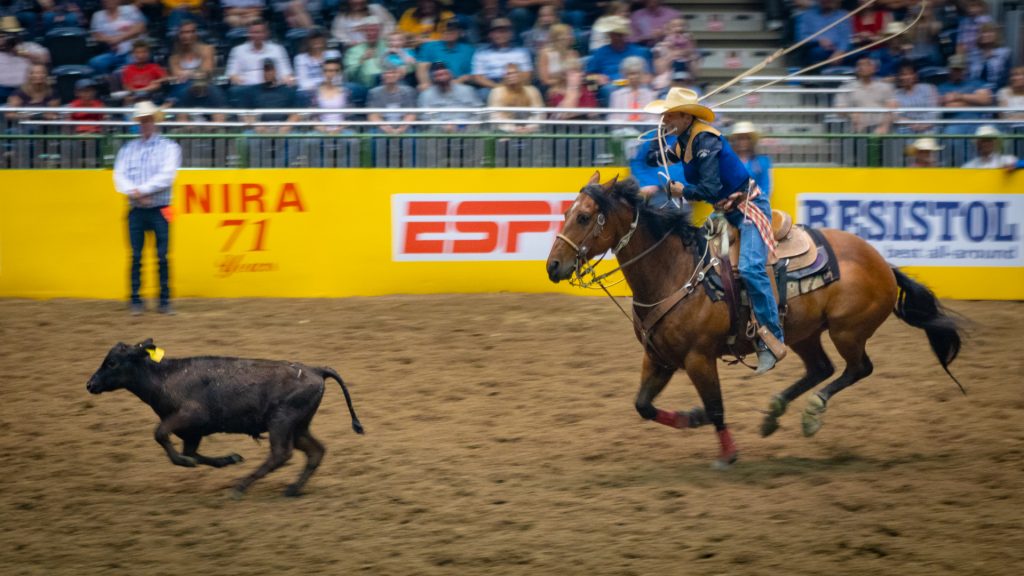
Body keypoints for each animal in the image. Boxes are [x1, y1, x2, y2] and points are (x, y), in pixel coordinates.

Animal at [548, 171, 962, 467]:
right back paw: (774, 414)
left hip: (848, 331)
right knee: (821, 368)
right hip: (802, 333)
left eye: (584, 216)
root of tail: (884, 265)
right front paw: (692, 417)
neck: (677, 273)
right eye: (566, 212)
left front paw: (727, 454)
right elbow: (644, 406)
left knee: (858, 368)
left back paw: (811, 414)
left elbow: (716, 407)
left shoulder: (699, 358)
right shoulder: (659, 357)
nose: (553, 266)